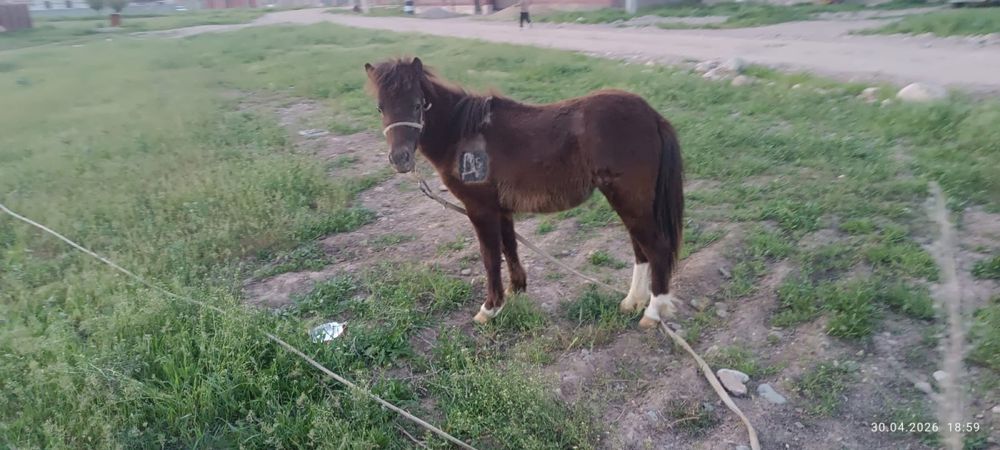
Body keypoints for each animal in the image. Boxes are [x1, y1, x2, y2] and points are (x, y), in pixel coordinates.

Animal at [364, 57, 684, 328]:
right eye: (380, 107)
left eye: (418, 105)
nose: (400, 159)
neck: (463, 134)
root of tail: (651, 115)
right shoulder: (501, 208)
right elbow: (509, 247)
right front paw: (515, 290)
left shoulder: (480, 210)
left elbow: (490, 256)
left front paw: (490, 308)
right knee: (641, 249)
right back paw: (632, 302)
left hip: (629, 199)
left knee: (656, 248)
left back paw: (652, 313)